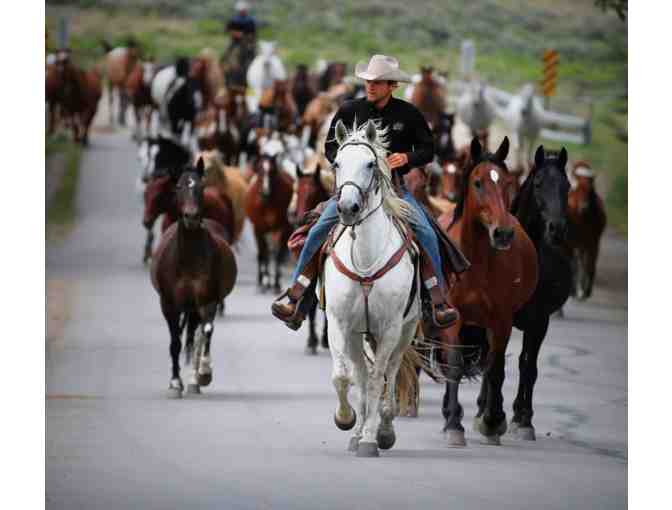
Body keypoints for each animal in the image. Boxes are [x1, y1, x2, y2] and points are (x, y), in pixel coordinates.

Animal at [151, 157, 238, 396]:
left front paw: (203, 374)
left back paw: (194, 380)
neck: (188, 260)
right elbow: (175, 342)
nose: (191, 216)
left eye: (200, 187)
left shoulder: (207, 300)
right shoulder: (169, 304)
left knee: (196, 335)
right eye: (179, 187)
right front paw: (174, 382)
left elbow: (205, 333)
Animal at [322, 119, 420, 458]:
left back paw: (383, 429)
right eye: (337, 163)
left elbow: (380, 379)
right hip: (357, 334)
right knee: (360, 377)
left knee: (390, 372)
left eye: (369, 164)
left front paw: (370, 439)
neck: (365, 258)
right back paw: (358, 428)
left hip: (405, 332)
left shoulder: (390, 328)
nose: (348, 208)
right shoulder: (339, 323)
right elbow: (343, 376)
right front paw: (346, 420)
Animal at [438, 135, 540, 446]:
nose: (503, 233)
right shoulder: (454, 316)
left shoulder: (501, 320)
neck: (475, 263)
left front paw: (492, 422)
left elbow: (495, 370)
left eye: (506, 182)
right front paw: (454, 425)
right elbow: (455, 365)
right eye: (478, 182)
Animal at [568, 161, 608, 300]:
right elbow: (574, 265)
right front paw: (574, 291)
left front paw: (587, 291)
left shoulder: (594, 242)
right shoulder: (572, 243)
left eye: (591, 191)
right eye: (577, 189)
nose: (584, 207)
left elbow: (590, 265)